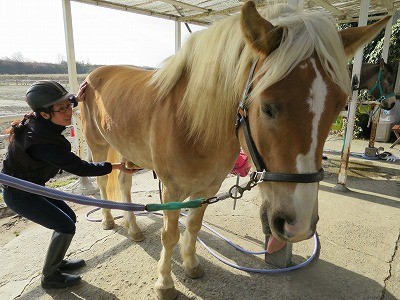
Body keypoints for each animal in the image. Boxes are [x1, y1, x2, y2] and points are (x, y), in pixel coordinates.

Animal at [79, 2, 390, 300]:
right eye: (267, 107)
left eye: (339, 106)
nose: (298, 225)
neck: (191, 122)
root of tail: (94, 74)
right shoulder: (172, 191)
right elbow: (170, 235)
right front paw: (165, 283)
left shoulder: (208, 188)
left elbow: (193, 227)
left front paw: (191, 265)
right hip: (98, 145)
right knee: (103, 183)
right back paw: (109, 220)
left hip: (125, 150)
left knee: (123, 183)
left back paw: (133, 228)